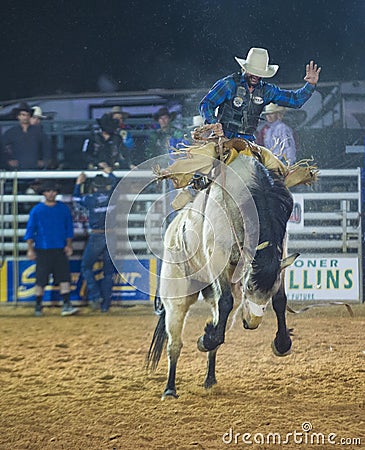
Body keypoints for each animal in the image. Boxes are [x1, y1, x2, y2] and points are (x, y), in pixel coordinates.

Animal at [146, 153, 298, 400]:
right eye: (247, 287)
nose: (252, 323)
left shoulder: (281, 256)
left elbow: (280, 301)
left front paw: (282, 343)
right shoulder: (218, 257)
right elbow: (226, 301)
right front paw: (204, 339)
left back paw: (210, 378)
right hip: (176, 295)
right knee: (174, 343)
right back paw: (169, 388)